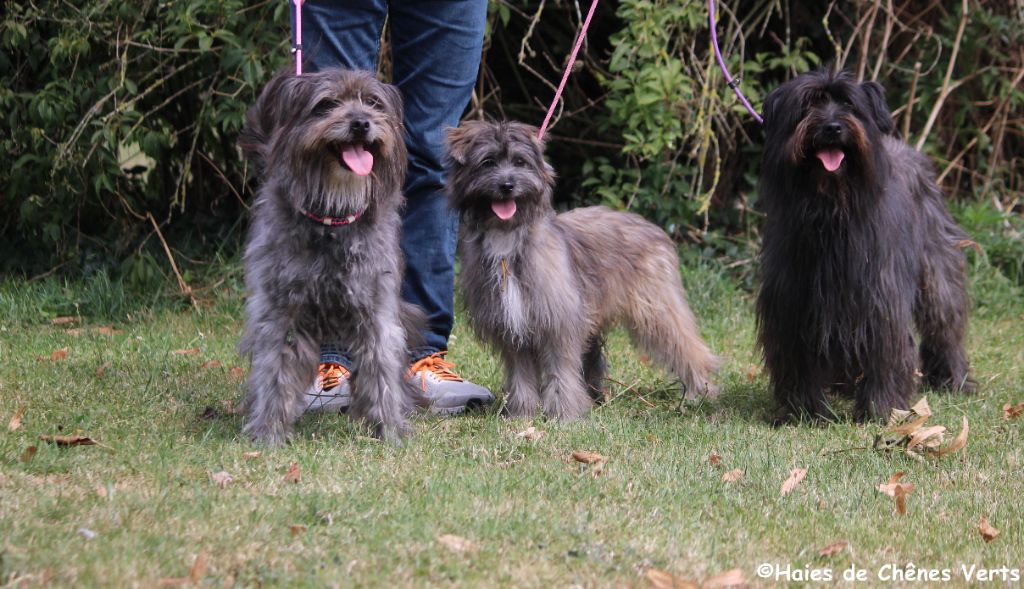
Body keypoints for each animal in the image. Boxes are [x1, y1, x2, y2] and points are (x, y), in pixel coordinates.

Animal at [237, 68, 421, 446]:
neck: (332, 217)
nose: (361, 123)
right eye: (327, 104)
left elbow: (381, 367)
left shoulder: (376, 310)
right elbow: (273, 370)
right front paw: (268, 433)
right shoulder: (280, 313)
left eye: (373, 102)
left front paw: (390, 430)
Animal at [444, 119, 716, 419]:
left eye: (520, 162)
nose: (507, 185)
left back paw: (698, 394)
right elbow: (521, 374)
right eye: (488, 162)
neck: (508, 238)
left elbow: (561, 371)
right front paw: (522, 413)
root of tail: (652, 227)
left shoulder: (558, 322)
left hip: (658, 310)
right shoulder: (512, 328)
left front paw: (564, 414)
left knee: (688, 348)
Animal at [757, 70, 970, 424]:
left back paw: (955, 379)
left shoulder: (879, 297)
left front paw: (881, 410)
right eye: (808, 105)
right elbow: (797, 356)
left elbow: (885, 349)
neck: (831, 210)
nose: (832, 127)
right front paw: (804, 411)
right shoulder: (793, 303)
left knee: (945, 323)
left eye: (849, 104)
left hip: (937, 267)